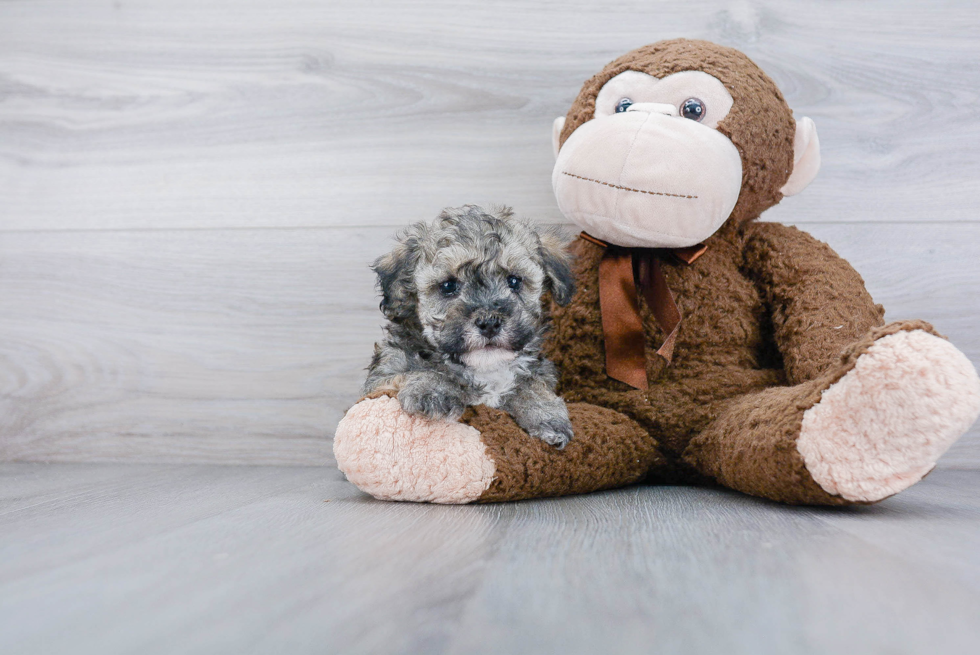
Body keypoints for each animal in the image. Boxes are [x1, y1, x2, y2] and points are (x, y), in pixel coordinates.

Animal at [364, 206, 580, 446]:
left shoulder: (538, 367)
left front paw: (546, 413)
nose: (490, 323)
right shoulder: (383, 377)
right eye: (448, 286)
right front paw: (432, 389)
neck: (484, 369)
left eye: (514, 281)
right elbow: (420, 369)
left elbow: (531, 383)